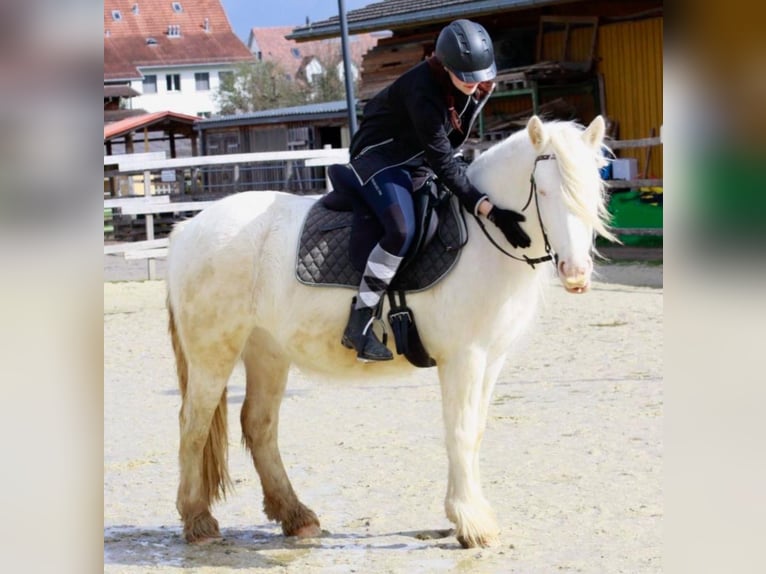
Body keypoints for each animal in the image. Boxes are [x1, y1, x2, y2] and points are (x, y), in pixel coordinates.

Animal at [165, 115, 613, 548]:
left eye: (594, 190)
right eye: (544, 191)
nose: (576, 274)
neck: (483, 241)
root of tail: (189, 229)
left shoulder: (491, 358)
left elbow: (475, 430)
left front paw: (467, 514)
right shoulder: (463, 357)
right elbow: (460, 430)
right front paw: (471, 522)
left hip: (267, 352)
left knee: (259, 425)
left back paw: (296, 516)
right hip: (213, 353)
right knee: (193, 425)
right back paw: (199, 521)